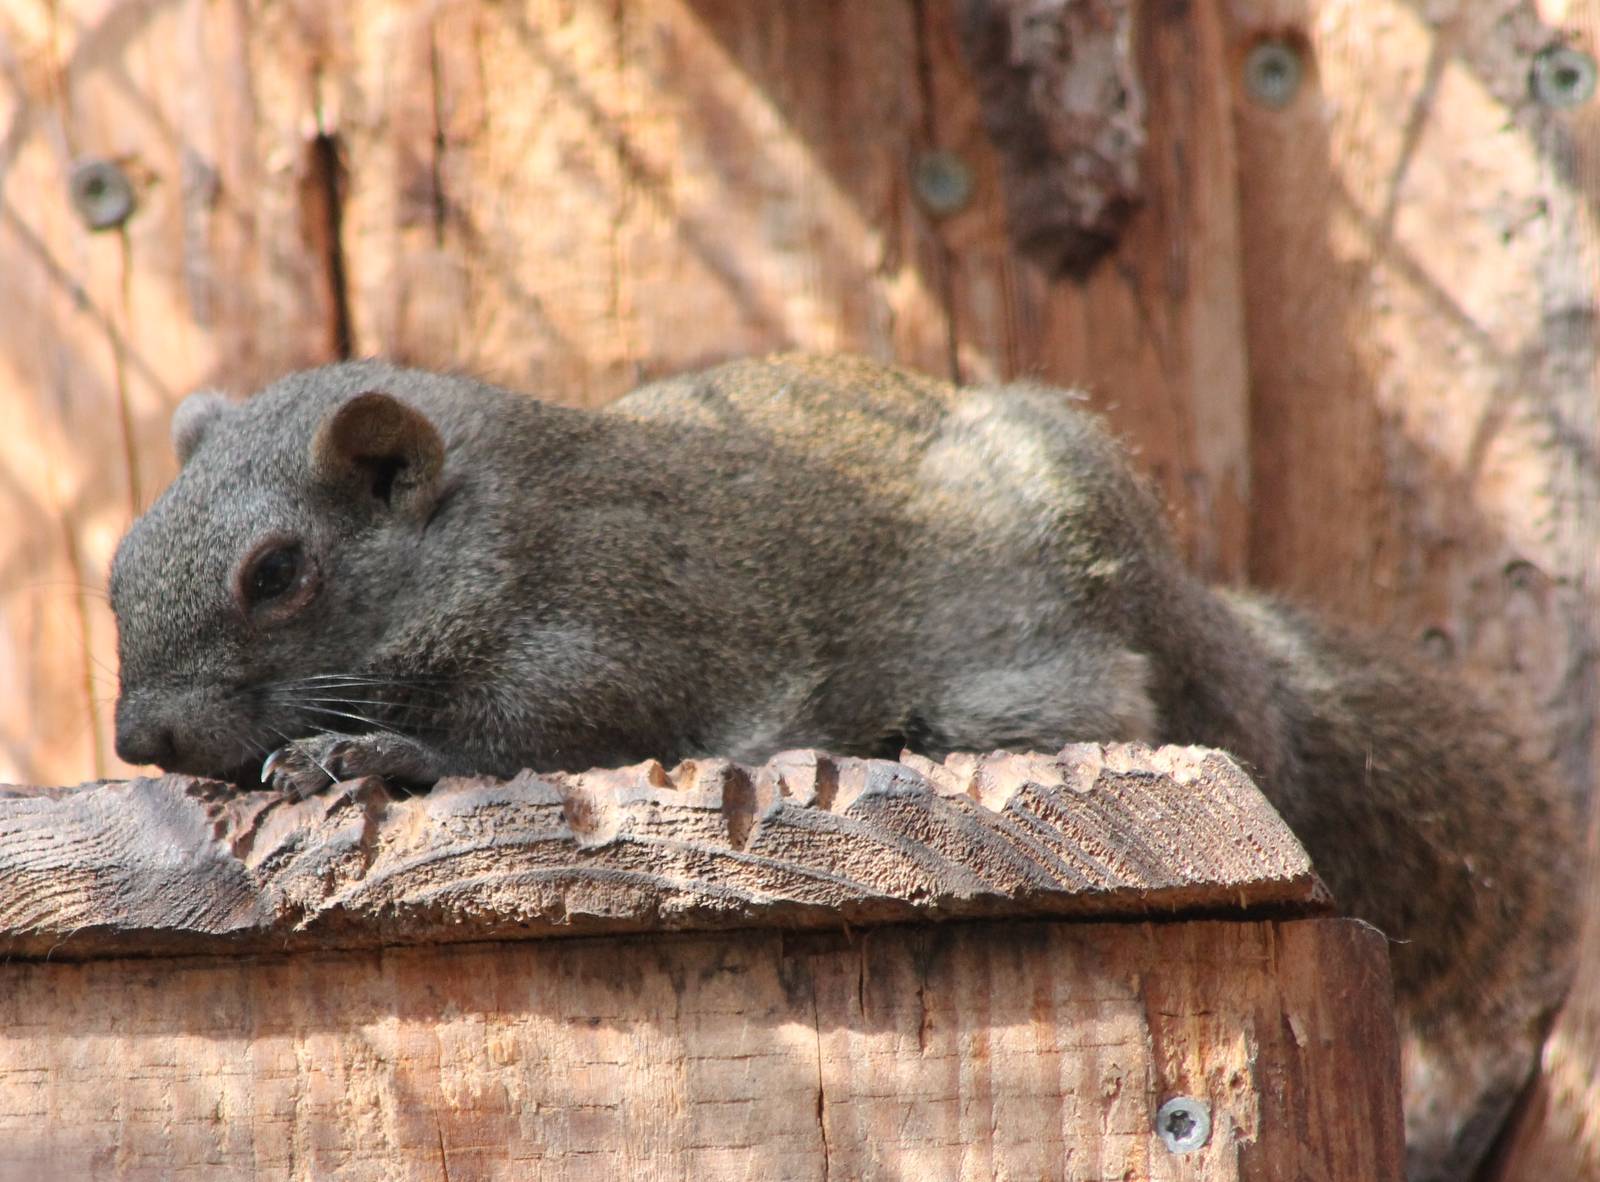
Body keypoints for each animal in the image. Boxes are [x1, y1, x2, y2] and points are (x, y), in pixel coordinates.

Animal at [110, 353, 1575, 1181]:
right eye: (120, 560)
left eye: (276, 573)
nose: (138, 738)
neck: (500, 522)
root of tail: (1225, 649)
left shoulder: (635, 634)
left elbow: (534, 730)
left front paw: (371, 747)